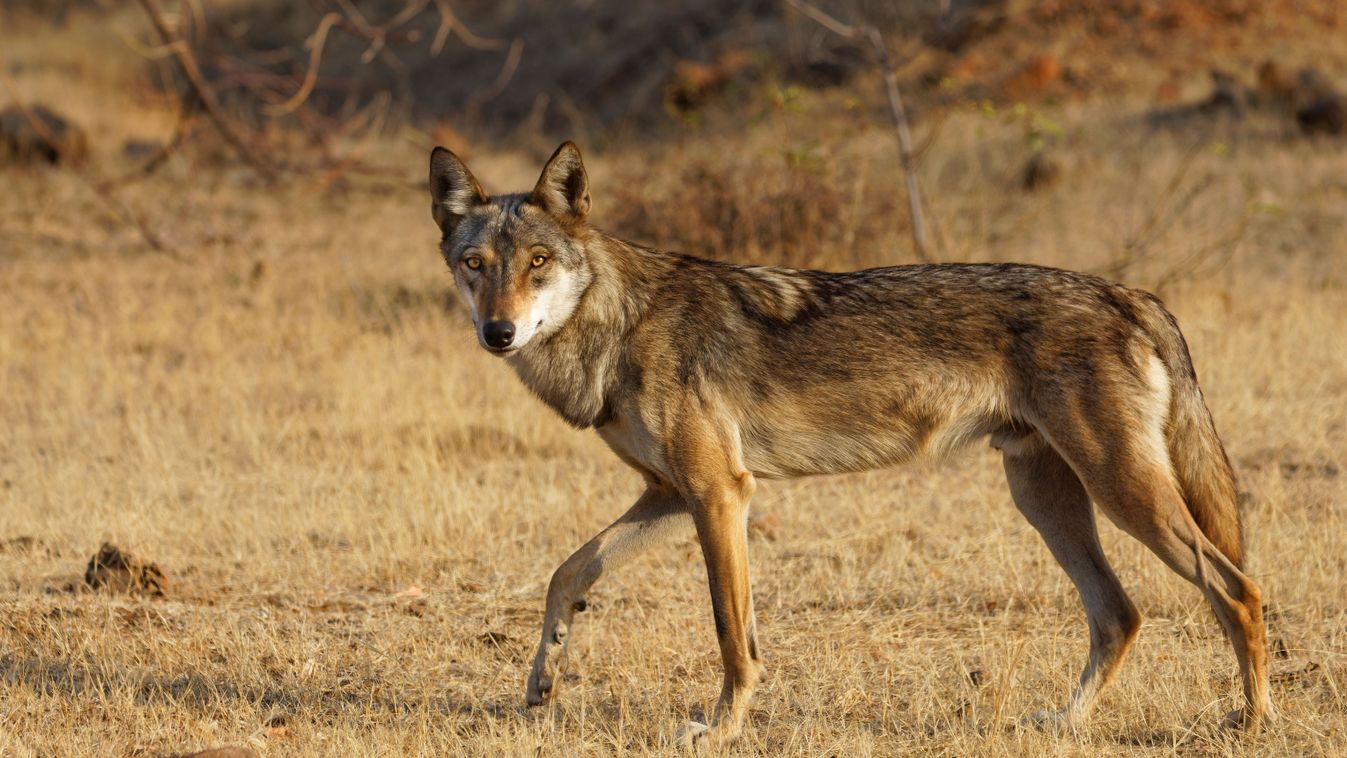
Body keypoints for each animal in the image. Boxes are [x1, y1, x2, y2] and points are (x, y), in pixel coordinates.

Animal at [425, 142, 1266, 748]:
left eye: (537, 264)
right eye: (475, 265)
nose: (497, 332)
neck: (621, 322)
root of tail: (1131, 293)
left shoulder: (719, 493)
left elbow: (731, 633)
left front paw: (719, 729)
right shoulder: (671, 495)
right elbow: (565, 575)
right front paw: (542, 680)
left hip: (1120, 494)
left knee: (1236, 591)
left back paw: (1251, 721)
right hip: (1046, 500)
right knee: (1119, 614)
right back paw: (1065, 724)